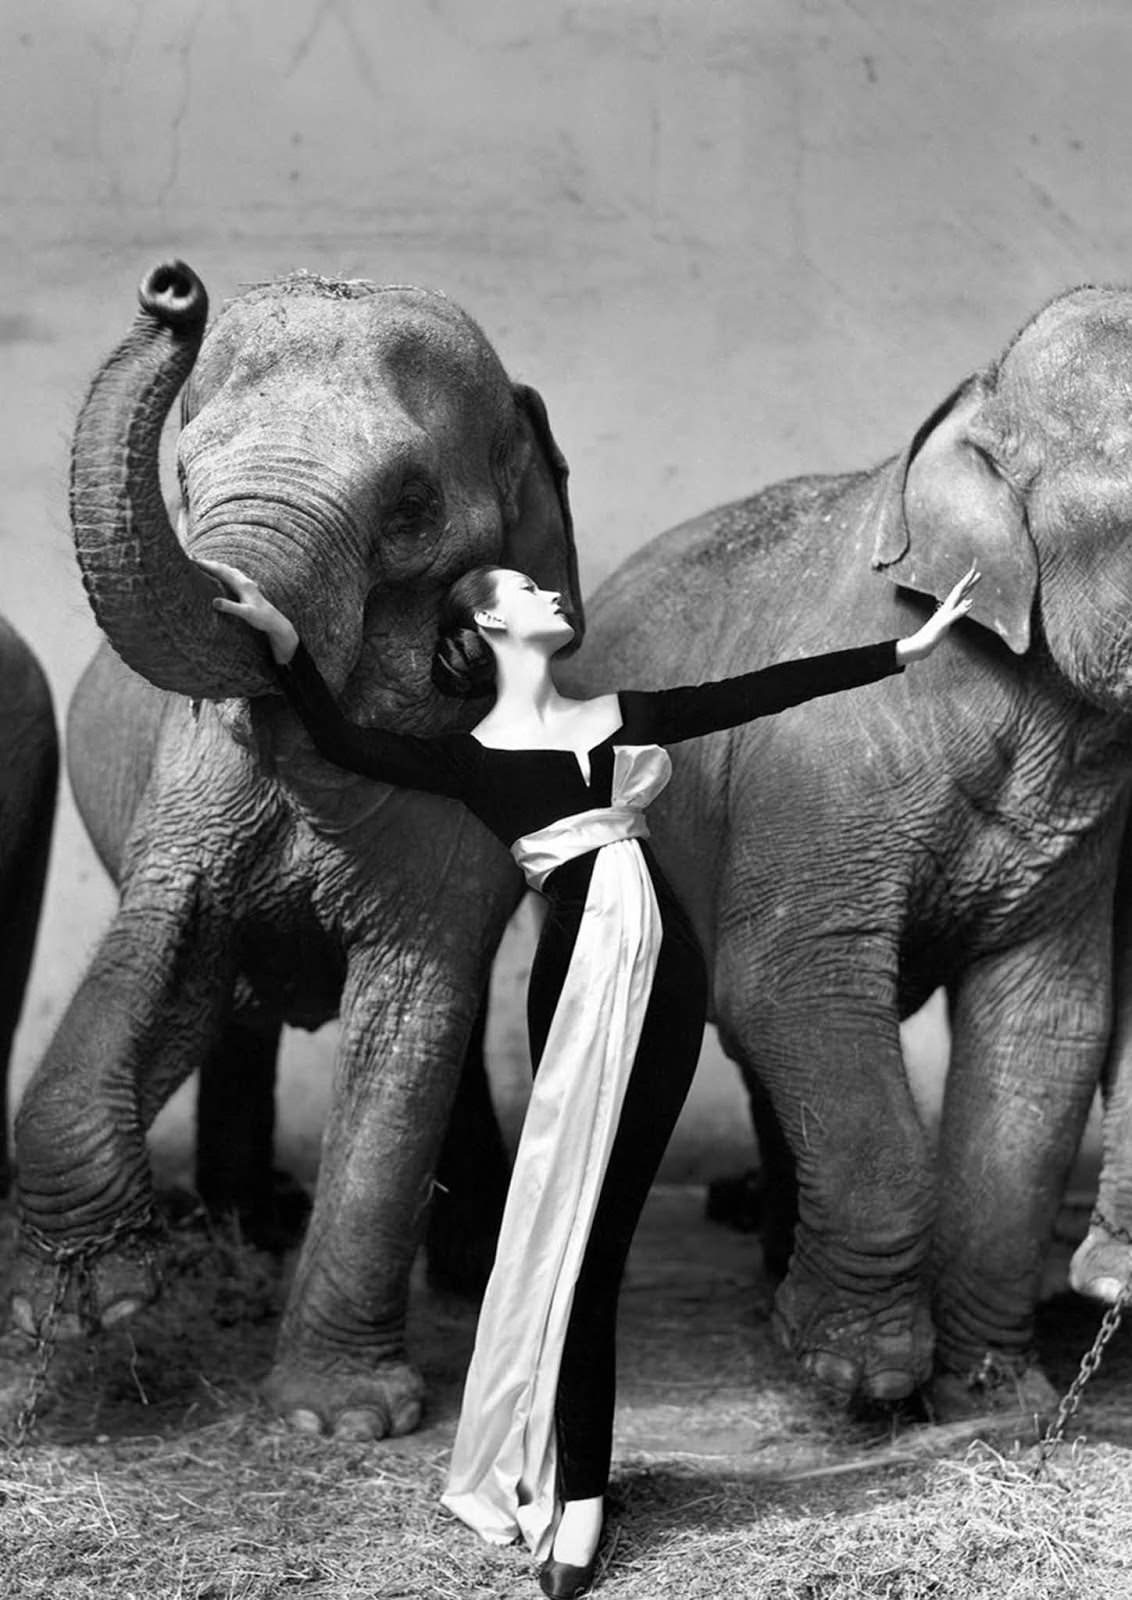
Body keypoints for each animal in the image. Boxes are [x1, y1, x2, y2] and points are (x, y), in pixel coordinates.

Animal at [8, 262, 575, 1440]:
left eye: (409, 506)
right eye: (183, 472)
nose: (173, 289)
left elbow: (412, 1015)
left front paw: (336, 1421)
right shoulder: (190, 783)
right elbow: (161, 949)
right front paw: (90, 1307)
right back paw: (248, 1226)